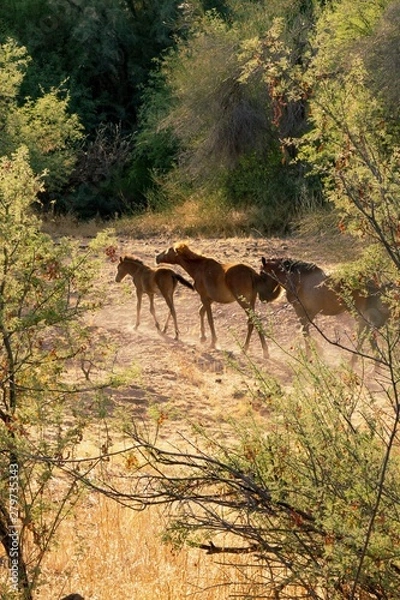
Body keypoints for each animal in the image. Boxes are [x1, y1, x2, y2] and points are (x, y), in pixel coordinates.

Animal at [260, 256, 390, 358]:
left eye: (262, 274)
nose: (262, 298)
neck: (299, 281)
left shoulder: (307, 311)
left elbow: (304, 330)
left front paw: (311, 354)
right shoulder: (305, 311)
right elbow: (303, 330)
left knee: (365, 332)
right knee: (368, 332)